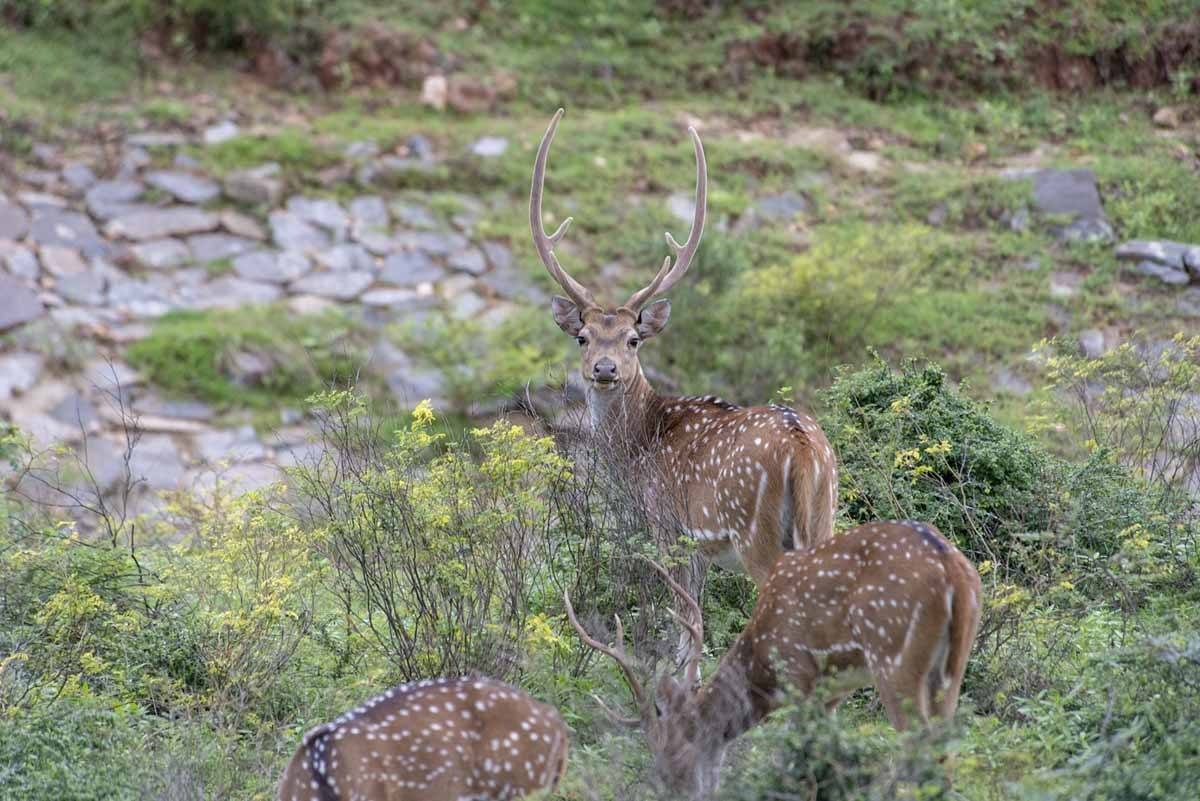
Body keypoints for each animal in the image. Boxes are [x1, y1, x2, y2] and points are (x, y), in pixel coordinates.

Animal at [530, 106, 840, 594]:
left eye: (633, 339)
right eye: (583, 337)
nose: (605, 369)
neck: (638, 448)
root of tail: (806, 450)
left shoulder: (669, 528)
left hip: (757, 532)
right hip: (827, 513)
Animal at [566, 522, 979, 796]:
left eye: (670, 761)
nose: (677, 792)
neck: (762, 661)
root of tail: (953, 570)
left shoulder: (799, 673)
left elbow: (804, 764)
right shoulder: (832, 691)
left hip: (893, 655)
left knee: (922, 749)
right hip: (950, 668)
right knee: (945, 752)